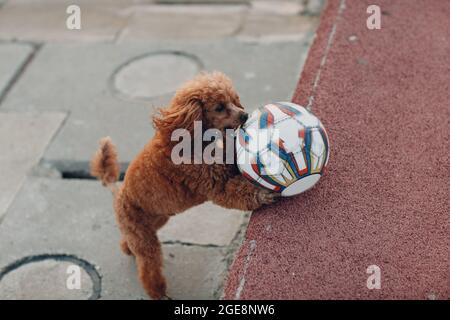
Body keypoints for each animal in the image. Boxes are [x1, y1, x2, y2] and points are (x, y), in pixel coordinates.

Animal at [89, 72, 276, 300]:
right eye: (219, 107)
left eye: (234, 99)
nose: (245, 115)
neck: (193, 140)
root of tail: (119, 192)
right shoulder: (215, 186)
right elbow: (238, 192)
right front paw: (263, 194)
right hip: (142, 234)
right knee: (148, 265)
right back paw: (157, 292)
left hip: (155, 220)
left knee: (130, 243)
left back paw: (127, 249)